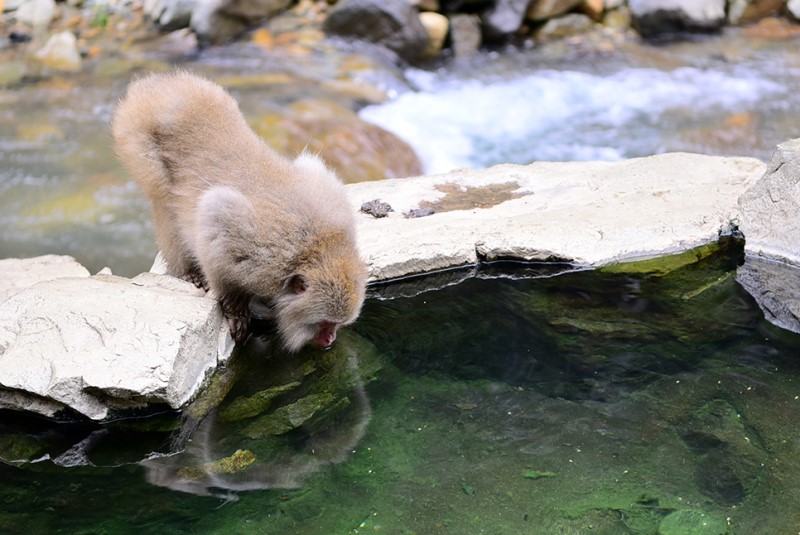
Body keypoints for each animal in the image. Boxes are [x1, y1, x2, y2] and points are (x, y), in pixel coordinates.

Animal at [111, 71, 368, 354]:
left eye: (338, 324)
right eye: (325, 323)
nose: (330, 339)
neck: (318, 248)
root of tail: (159, 84)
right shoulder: (252, 248)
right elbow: (214, 220)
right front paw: (236, 308)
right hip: (135, 135)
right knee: (164, 201)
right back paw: (186, 271)